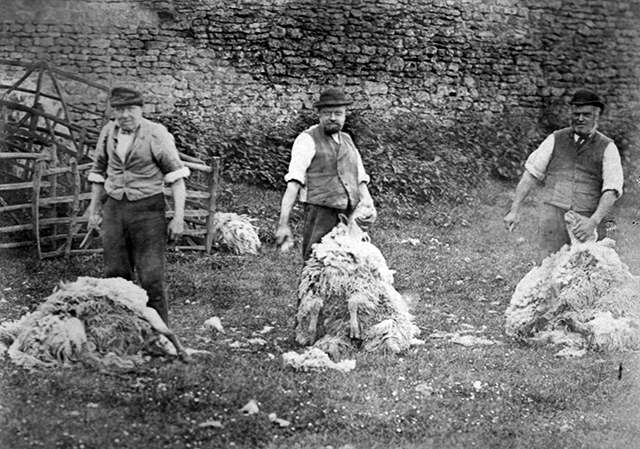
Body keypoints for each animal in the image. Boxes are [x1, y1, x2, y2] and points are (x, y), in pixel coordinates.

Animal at [296, 203, 424, 356]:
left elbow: (352, 303)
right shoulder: (315, 286)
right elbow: (315, 306)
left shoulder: (361, 286)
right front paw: (311, 331)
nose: (367, 239)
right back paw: (329, 344)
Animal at [504, 212, 640, 352]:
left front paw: (534, 323)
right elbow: (551, 310)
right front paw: (531, 325)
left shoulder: (577, 290)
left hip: (612, 322)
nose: (570, 213)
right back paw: (531, 337)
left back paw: (566, 323)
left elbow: (552, 310)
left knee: (590, 332)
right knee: (561, 336)